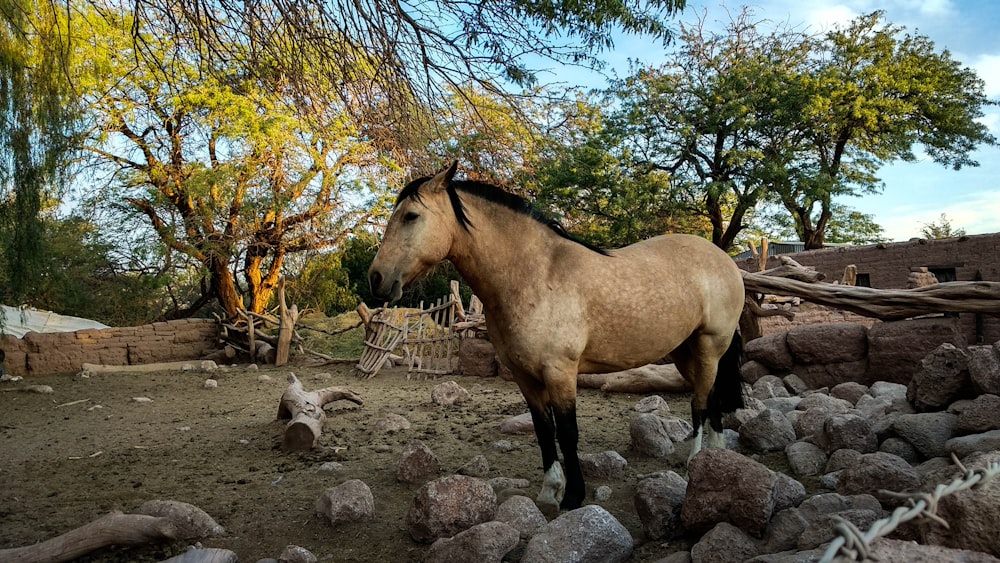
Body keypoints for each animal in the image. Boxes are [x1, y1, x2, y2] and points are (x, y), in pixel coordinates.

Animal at [368, 162, 744, 512]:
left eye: (411, 216)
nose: (376, 278)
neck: (534, 275)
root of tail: (724, 259)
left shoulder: (560, 371)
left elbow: (567, 432)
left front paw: (574, 496)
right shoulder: (525, 376)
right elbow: (543, 430)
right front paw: (550, 490)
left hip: (709, 347)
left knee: (700, 403)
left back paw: (695, 463)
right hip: (684, 352)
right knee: (710, 399)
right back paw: (714, 458)